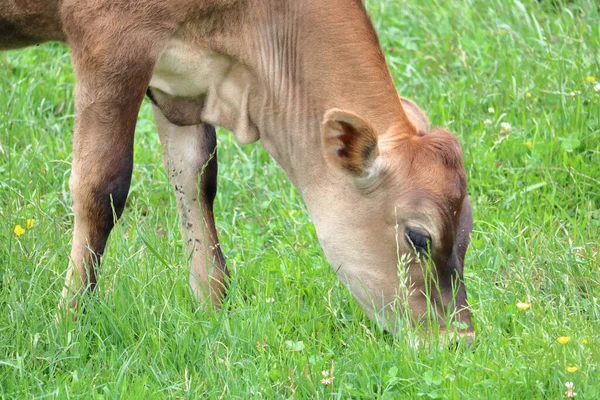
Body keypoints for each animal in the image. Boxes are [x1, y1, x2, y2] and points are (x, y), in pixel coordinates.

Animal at [2, 0, 476, 340]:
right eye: (419, 236)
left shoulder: (181, 84)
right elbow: (102, 187)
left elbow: (196, 179)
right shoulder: (109, 37)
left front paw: (214, 309)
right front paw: (69, 321)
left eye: (469, 230)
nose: (459, 340)